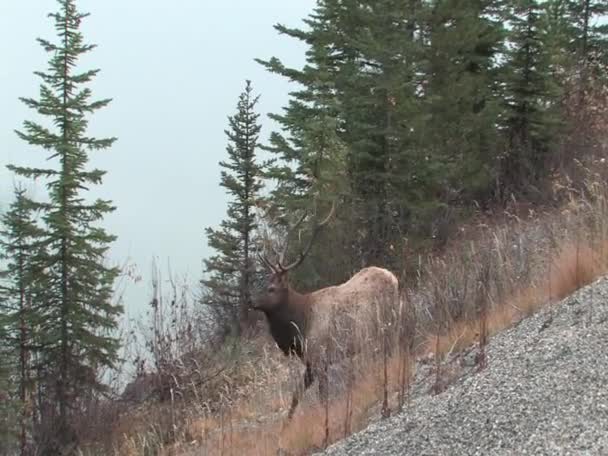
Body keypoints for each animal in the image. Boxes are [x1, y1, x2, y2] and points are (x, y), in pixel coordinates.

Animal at [249, 203, 402, 420]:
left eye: (271, 289)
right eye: (262, 284)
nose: (251, 300)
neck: (300, 326)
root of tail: (393, 277)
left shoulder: (319, 357)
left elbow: (322, 397)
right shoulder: (310, 362)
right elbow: (296, 396)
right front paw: (287, 423)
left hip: (389, 323)